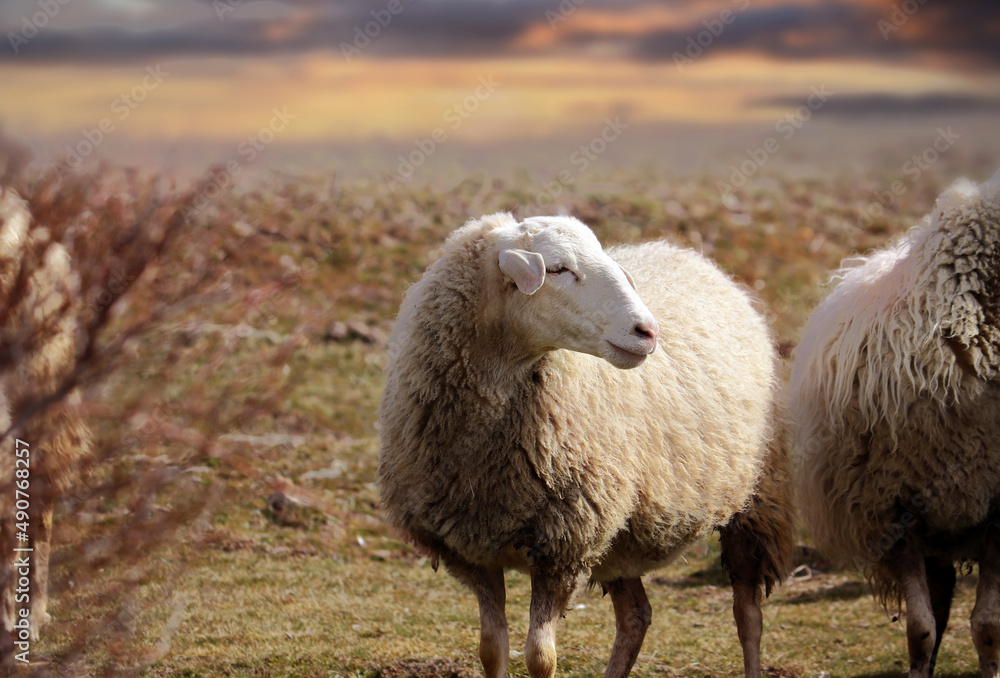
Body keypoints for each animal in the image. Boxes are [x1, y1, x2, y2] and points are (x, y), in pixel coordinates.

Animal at [377, 213, 793, 678]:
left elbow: (540, 658)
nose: (648, 331)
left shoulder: (563, 546)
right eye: (557, 269)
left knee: (747, 614)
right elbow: (491, 649)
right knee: (636, 617)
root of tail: (688, 255)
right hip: (621, 533)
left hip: (756, 502)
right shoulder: (474, 550)